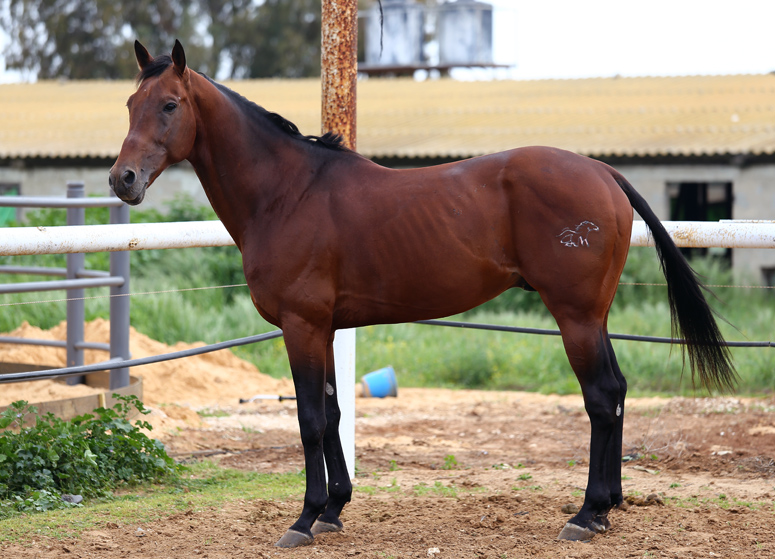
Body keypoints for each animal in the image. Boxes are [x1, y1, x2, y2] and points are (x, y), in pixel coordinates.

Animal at [109, 41, 736, 547]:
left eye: (170, 105)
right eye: (130, 104)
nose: (122, 179)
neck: (288, 192)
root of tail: (604, 172)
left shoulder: (301, 326)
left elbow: (310, 418)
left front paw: (304, 518)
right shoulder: (324, 329)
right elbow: (334, 412)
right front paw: (334, 509)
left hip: (575, 316)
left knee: (602, 396)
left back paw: (585, 515)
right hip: (593, 317)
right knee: (619, 390)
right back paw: (606, 510)